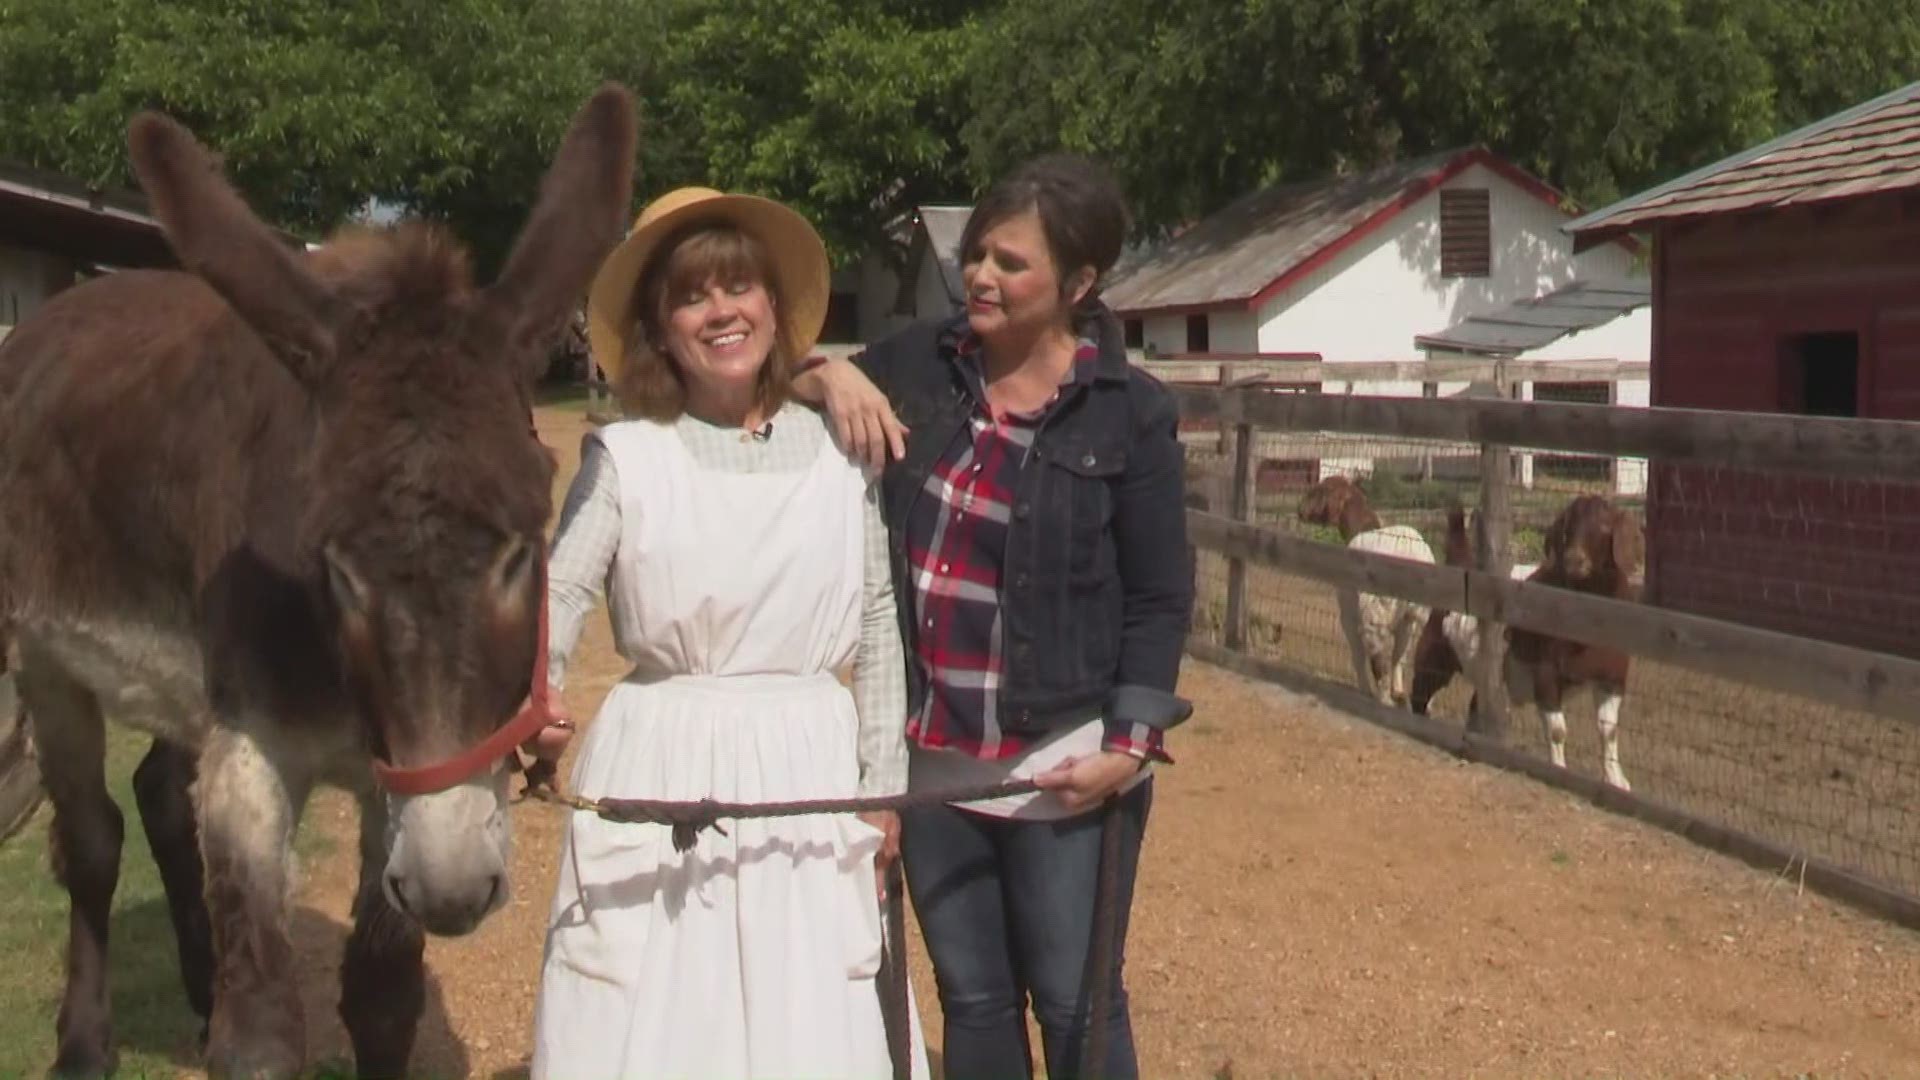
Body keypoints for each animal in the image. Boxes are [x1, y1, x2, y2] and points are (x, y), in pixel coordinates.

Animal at [1297, 474, 1436, 711]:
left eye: (1319, 490)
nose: (1299, 510)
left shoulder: (1349, 615)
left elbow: (1357, 653)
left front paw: (1364, 690)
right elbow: (1397, 655)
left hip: (1375, 612)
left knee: (1377, 655)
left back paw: (1383, 698)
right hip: (1414, 614)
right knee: (1403, 653)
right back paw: (1406, 696)